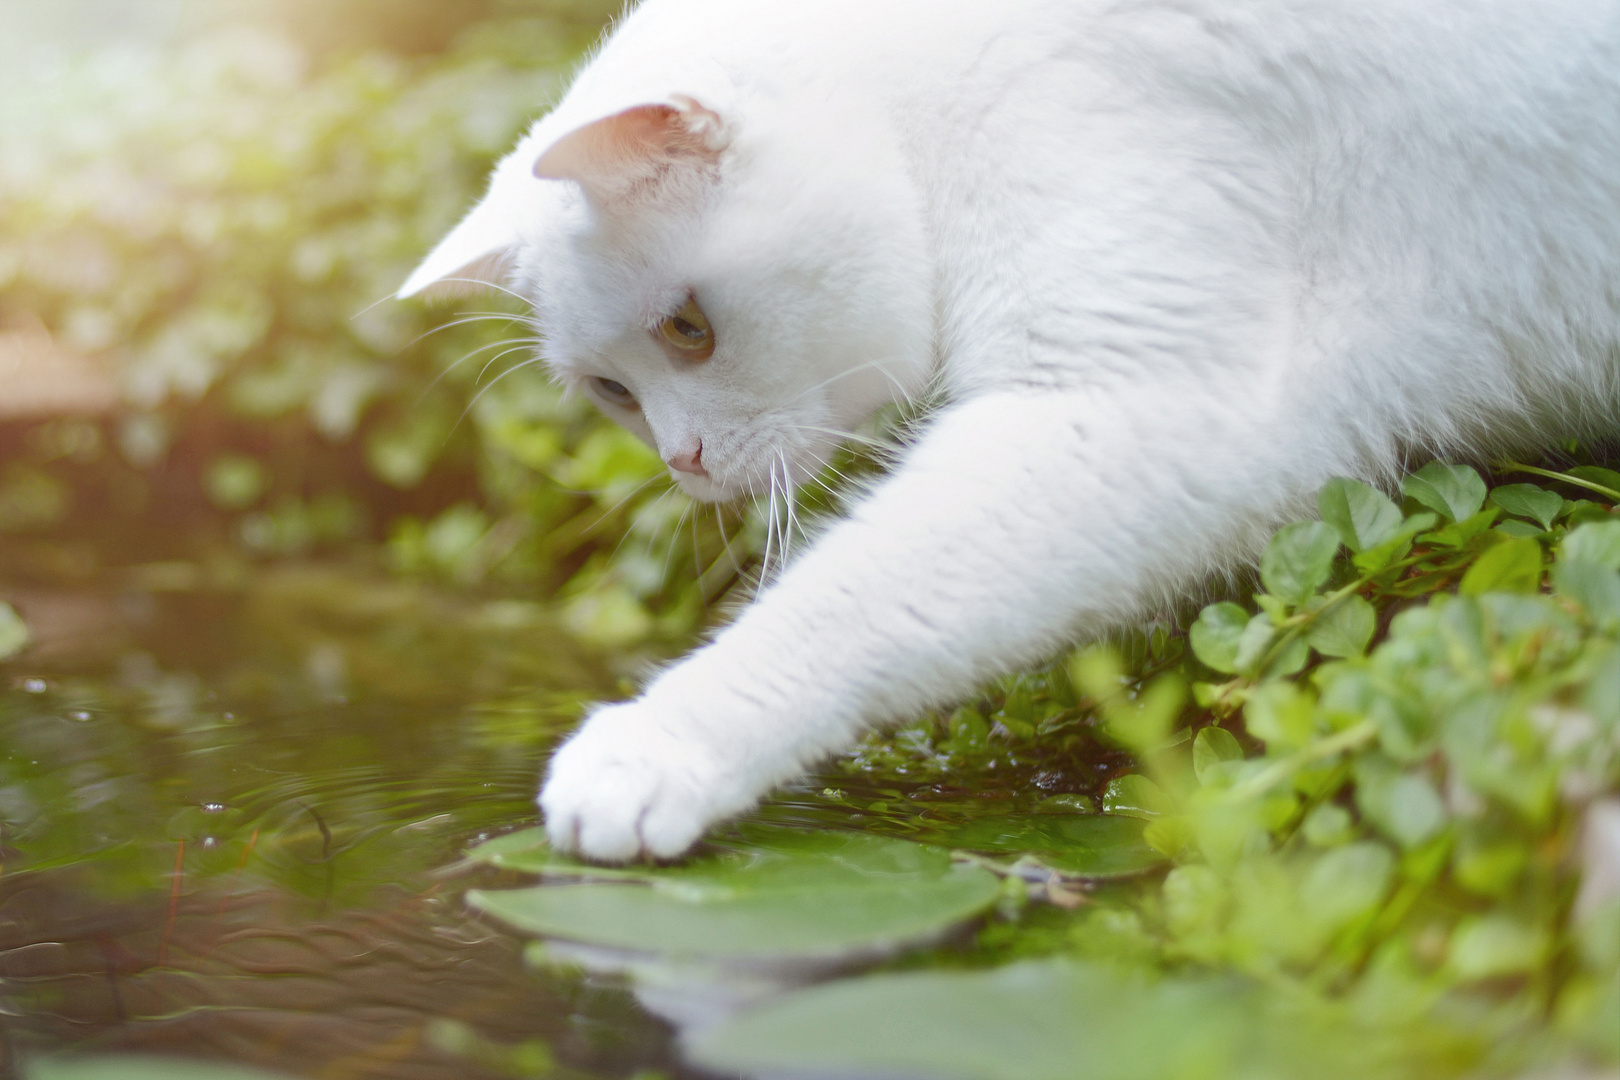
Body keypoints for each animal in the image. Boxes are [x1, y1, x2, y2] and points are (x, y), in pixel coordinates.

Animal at [401, 0, 1620, 861]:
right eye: (611, 389)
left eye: (689, 330)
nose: (683, 463)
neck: (922, 103)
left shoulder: (1146, 400)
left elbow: (844, 603)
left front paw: (655, 749)